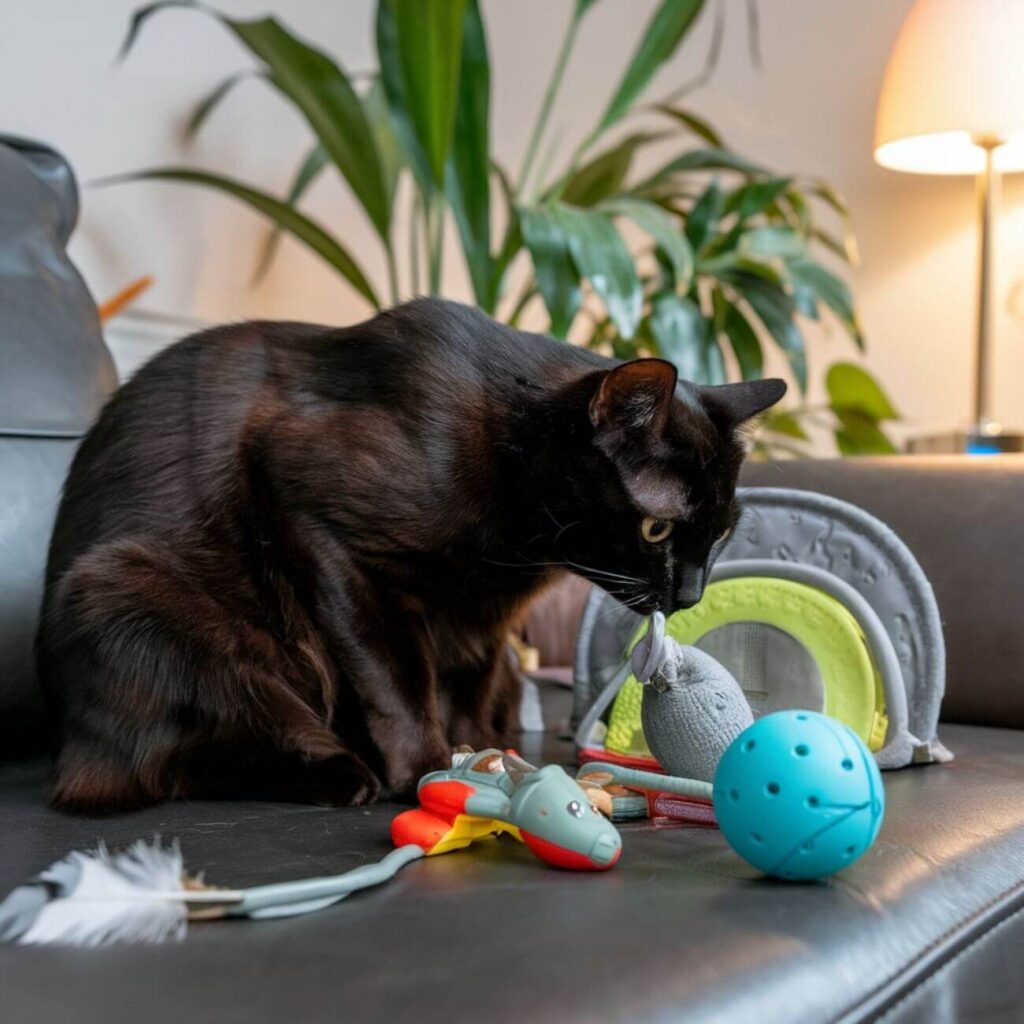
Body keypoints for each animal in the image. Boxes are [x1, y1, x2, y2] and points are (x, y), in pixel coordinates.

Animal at [34, 296, 782, 806]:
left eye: (721, 531)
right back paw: (342, 773)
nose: (691, 594)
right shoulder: (327, 529)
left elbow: (465, 680)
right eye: (657, 530)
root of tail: (68, 745)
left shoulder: (483, 621)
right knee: (211, 745)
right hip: (129, 596)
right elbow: (394, 673)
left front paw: (482, 753)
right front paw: (428, 765)